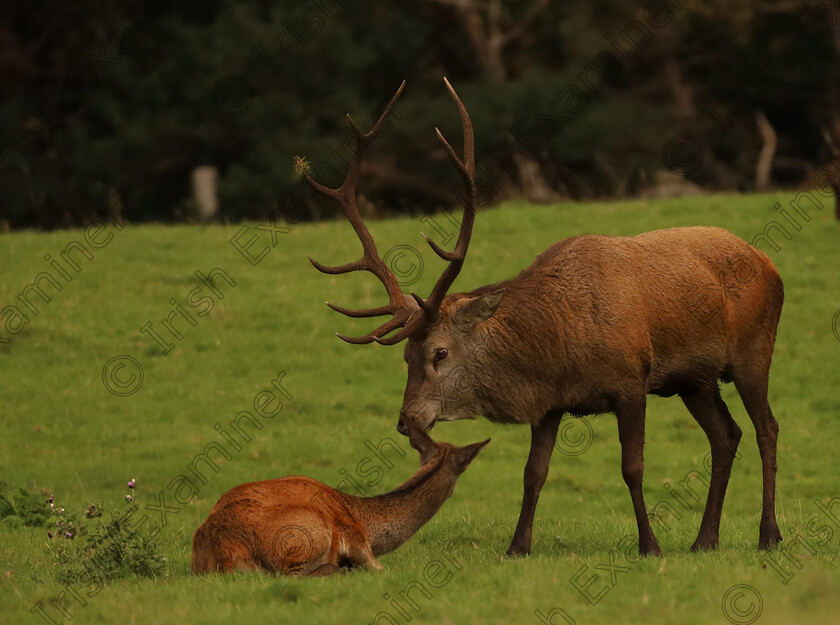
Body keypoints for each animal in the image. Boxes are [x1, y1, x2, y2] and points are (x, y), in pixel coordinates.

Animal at [298, 77, 784, 556]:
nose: (406, 420)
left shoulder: (632, 380)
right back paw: (705, 540)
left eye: (440, 353)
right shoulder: (550, 403)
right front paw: (518, 546)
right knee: (726, 436)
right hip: (693, 380)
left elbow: (632, 467)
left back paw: (768, 535)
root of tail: (768, 263)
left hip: (754, 349)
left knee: (766, 428)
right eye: (405, 357)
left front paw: (650, 545)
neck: (560, 348)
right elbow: (534, 473)